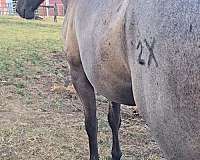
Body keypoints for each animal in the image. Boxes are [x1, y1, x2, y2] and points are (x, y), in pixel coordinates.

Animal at [16, 0, 199, 160]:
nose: (20, 9)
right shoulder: (112, 84)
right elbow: (114, 121)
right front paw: (116, 154)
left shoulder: (79, 76)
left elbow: (91, 123)